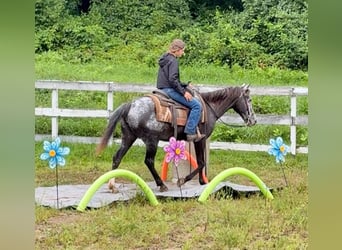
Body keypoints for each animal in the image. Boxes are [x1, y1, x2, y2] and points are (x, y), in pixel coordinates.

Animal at [96, 84, 256, 191]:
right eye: (249, 99)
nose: (253, 120)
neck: (209, 107)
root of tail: (130, 105)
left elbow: (200, 162)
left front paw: (202, 182)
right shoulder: (200, 139)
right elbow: (201, 162)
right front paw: (183, 180)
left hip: (128, 137)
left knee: (117, 157)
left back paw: (112, 185)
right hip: (151, 140)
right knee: (149, 161)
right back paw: (161, 185)